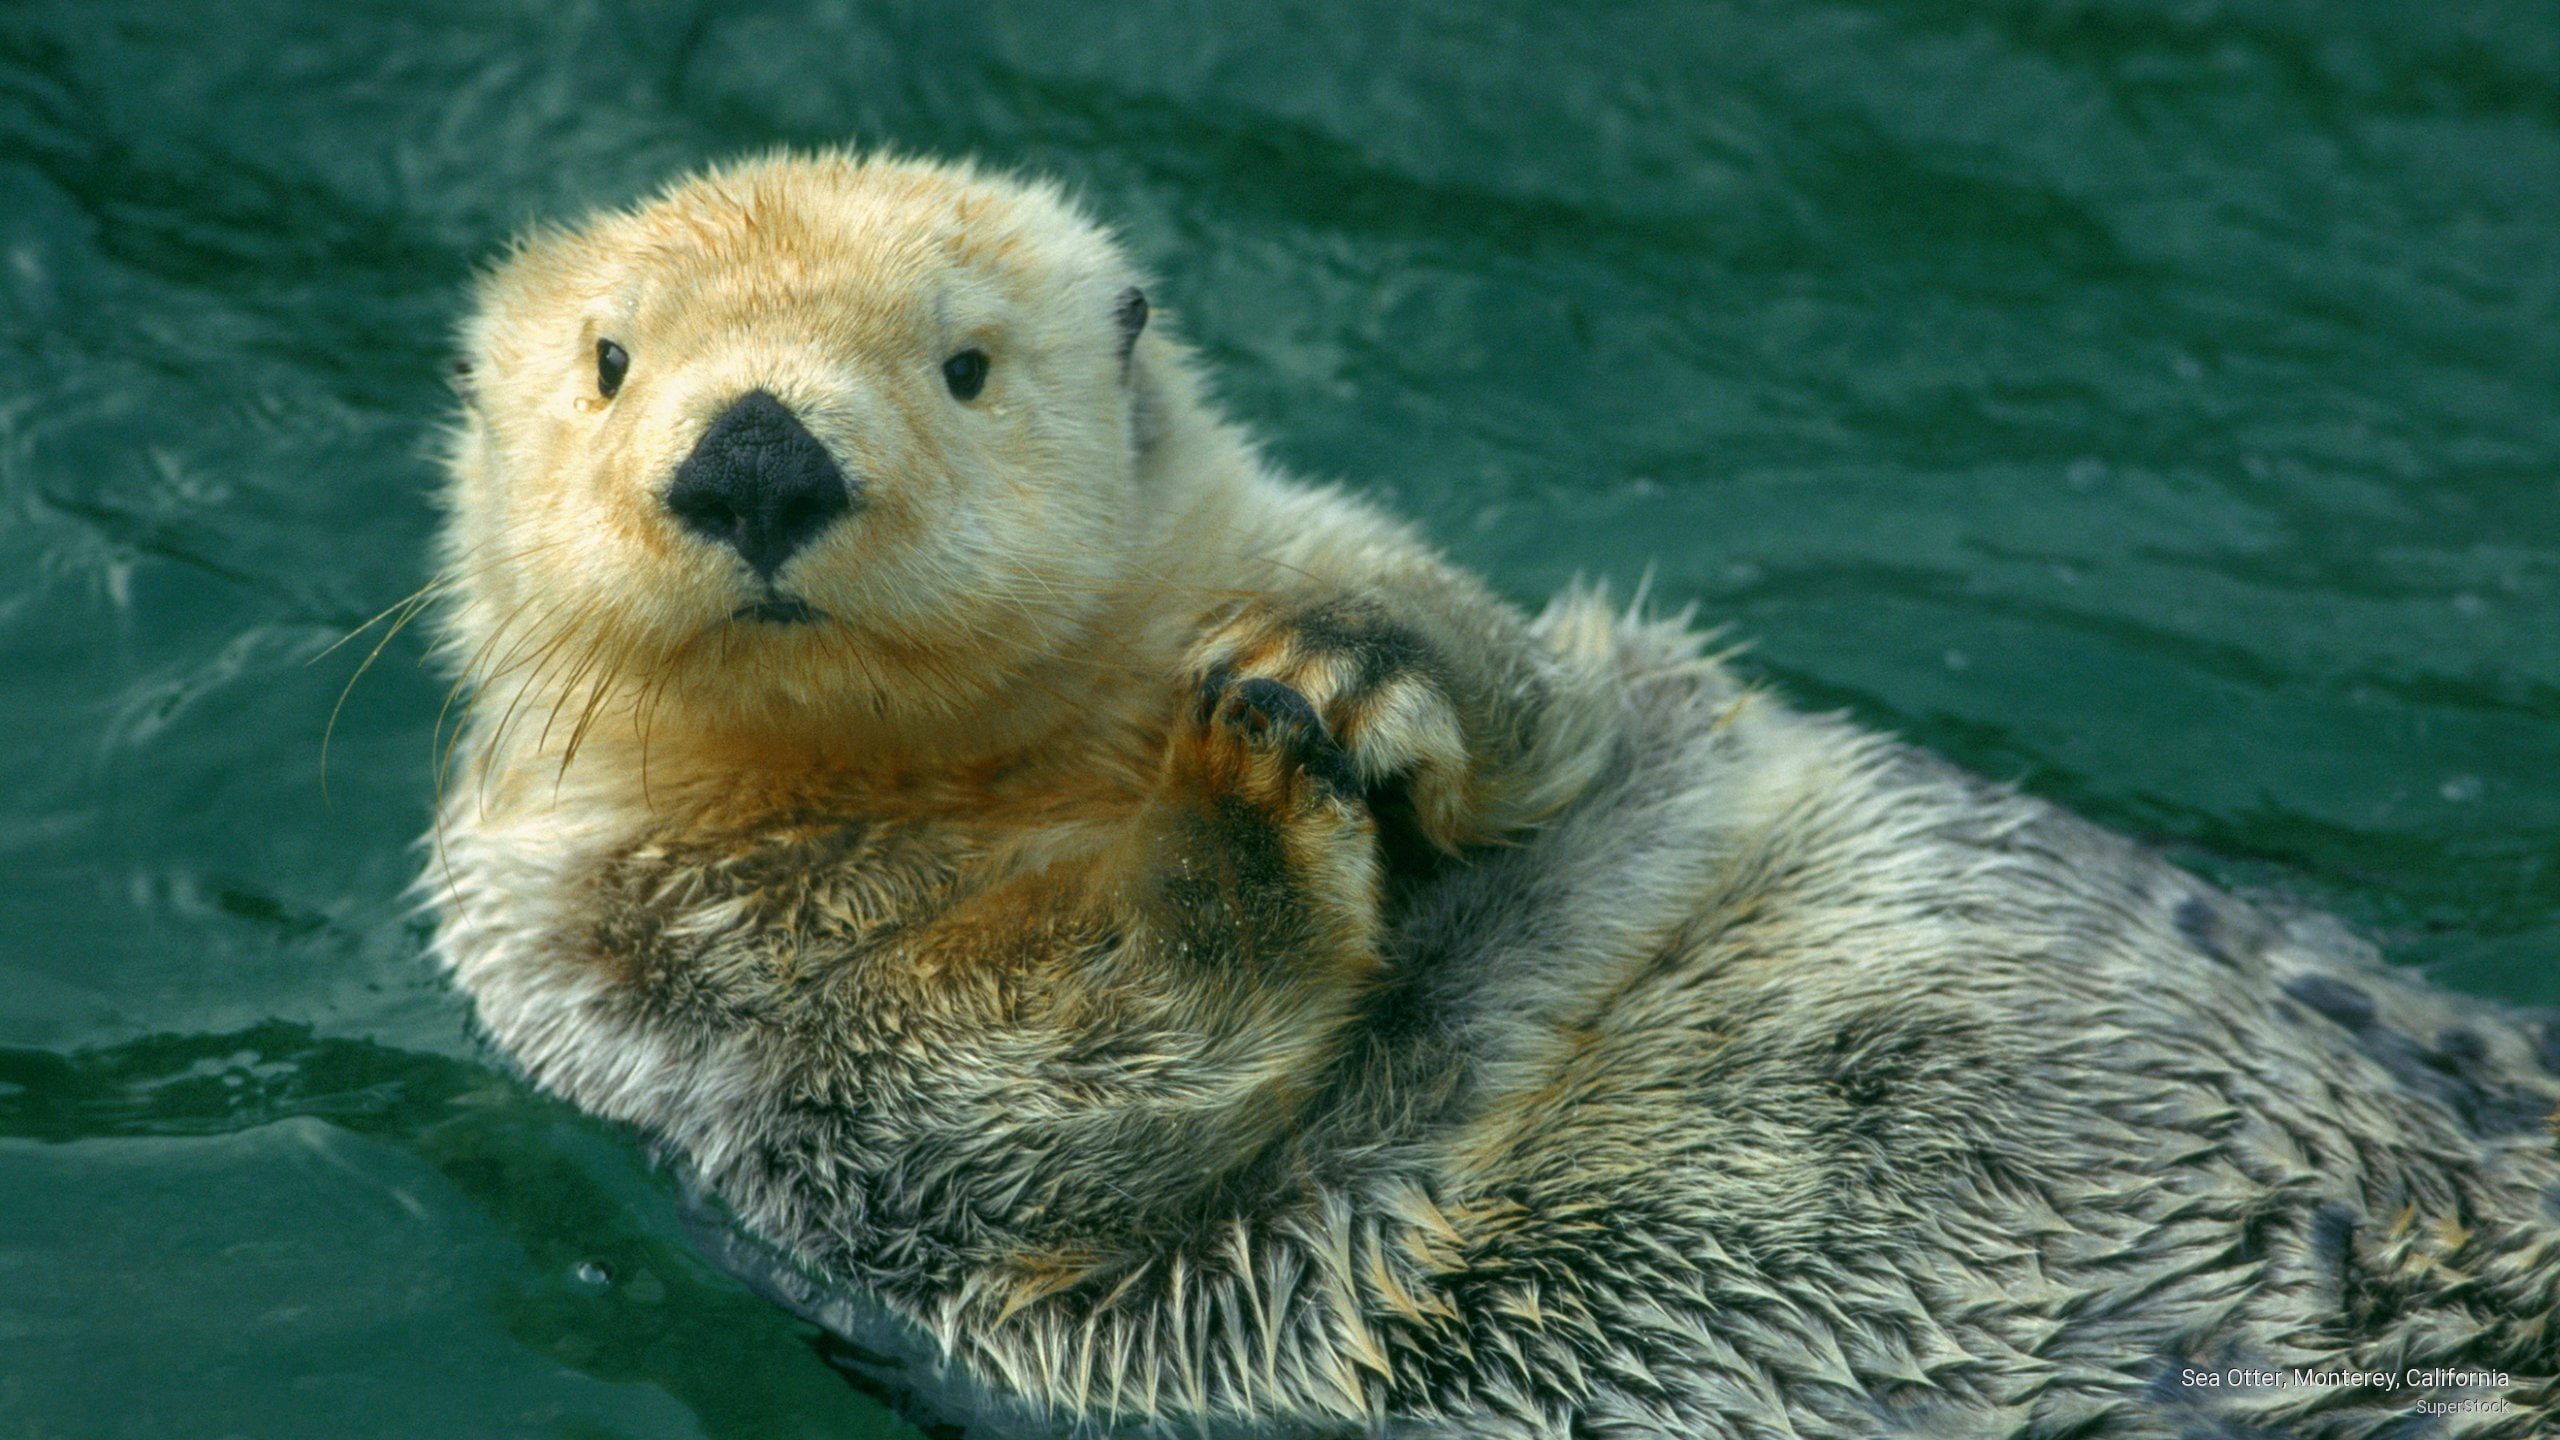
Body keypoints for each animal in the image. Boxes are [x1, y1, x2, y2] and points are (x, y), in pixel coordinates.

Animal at [424, 151, 2560, 1424]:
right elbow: (1005, 1087)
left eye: (963, 365)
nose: (756, 455)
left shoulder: (1478, 648)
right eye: (610, 361)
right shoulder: (643, 971)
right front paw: (1236, 807)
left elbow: (1551, 713)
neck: (1004, 777)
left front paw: (1342, 670)